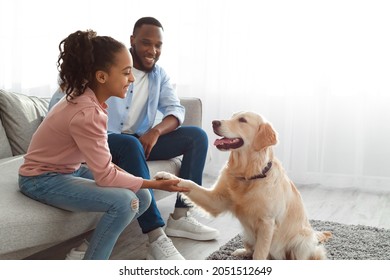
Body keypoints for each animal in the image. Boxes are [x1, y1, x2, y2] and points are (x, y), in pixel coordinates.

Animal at [154, 111, 330, 260]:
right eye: (232, 116)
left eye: (242, 120)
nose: (214, 122)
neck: (248, 175)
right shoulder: (215, 201)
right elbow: (189, 183)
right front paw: (167, 176)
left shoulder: (267, 223)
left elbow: (260, 254)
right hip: (246, 234)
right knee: (250, 249)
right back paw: (241, 251)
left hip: (301, 241)